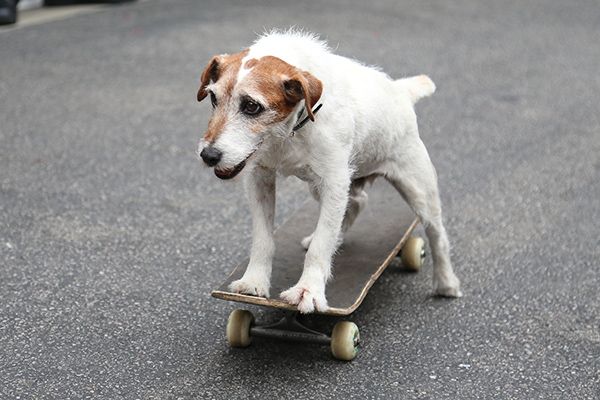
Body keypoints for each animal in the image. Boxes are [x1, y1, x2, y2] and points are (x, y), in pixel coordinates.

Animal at [195, 29, 462, 314]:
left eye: (252, 106)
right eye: (213, 98)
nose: (208, 155)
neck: (290, 130)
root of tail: (401, 91)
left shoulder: (333, 182)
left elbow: (320, 246)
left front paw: (308, 290)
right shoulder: (260, 179)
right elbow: (263, 238)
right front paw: (254, 281)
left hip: (417, 188)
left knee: (437, 233)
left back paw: (446, 283)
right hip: (326, 185)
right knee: (356, 202)